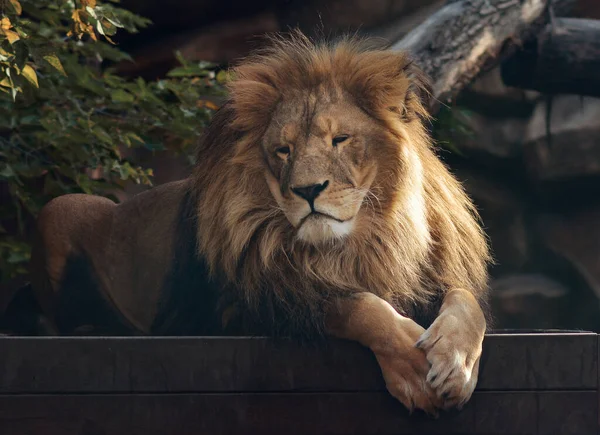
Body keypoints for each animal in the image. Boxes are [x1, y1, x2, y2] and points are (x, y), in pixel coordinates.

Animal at [27, 31, 492, 416]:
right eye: (284, 150)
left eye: (339, 140)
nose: (308, 190)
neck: (357, 244)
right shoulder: (242, 309)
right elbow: (353, 305)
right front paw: (412, 369)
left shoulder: (433, 278)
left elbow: (467, 304)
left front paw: (456, 363)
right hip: (60, 208)